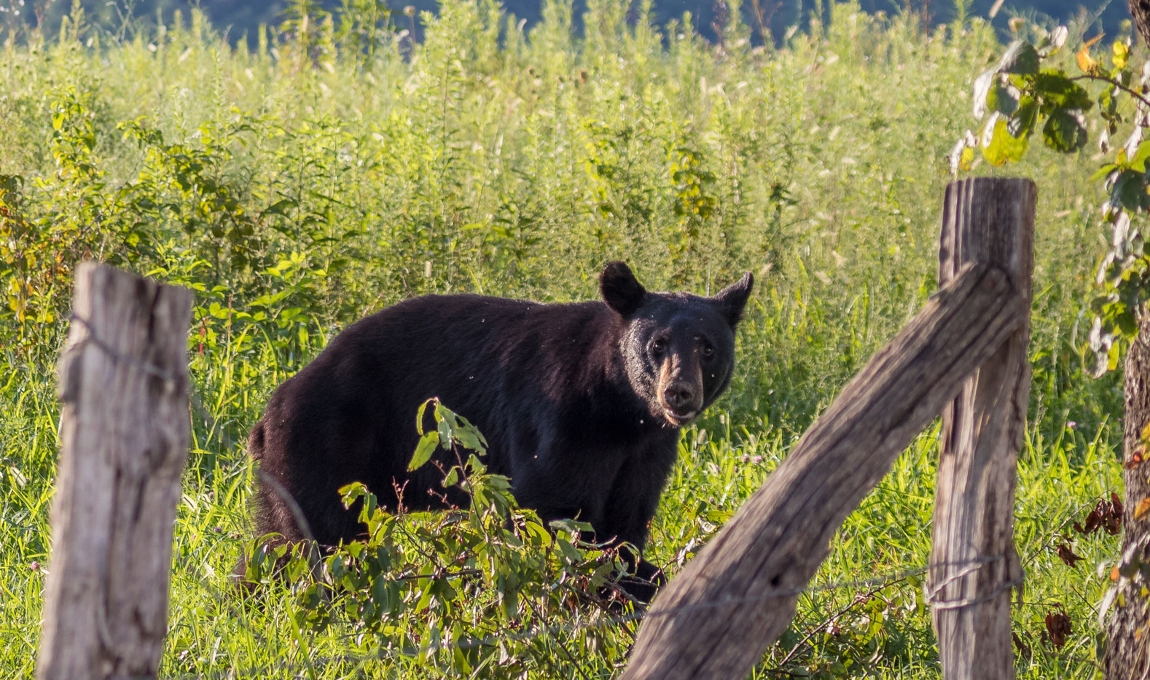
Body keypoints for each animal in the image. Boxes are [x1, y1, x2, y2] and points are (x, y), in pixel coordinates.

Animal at [247, 261, 752, 602]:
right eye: (657, 345)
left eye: (707, 347)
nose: (678, 393)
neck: (622, 409)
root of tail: (271, 411)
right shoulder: (563, 420)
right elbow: (550, 510)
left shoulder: (647, 451)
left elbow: (626, 521)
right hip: (326, 446)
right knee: (323, 540)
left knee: (276, 542)